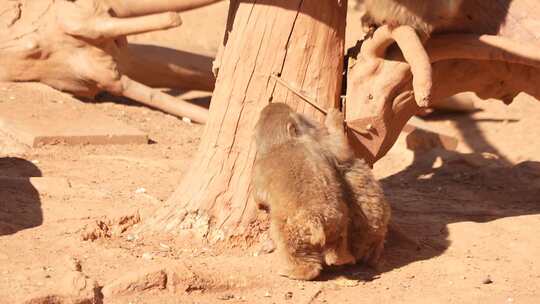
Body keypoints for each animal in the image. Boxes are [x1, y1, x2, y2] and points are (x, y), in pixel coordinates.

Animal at [252, 102, 356, 280]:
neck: (282, 142)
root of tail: (317, 222)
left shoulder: (259, 168)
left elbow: (258, 192)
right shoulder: (315, 144)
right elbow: (340, 149)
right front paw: (335, 117)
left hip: (293, 232)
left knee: (300, 256)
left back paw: (294, 272)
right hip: (339, 223)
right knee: (336, 246)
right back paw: (343, 258)